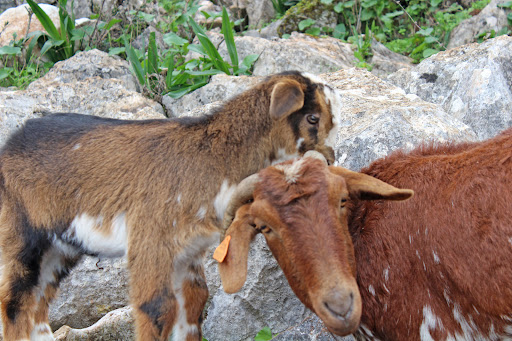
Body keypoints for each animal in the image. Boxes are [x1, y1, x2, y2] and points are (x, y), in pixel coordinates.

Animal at [0, 70, 342, 338]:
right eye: (312, 117)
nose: (330, 158)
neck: (214, 160)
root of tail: (10, 145)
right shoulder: (151, 241)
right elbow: (156, 307)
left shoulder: (187, 252)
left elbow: (193, 303)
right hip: (21, 239)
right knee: (14, 304)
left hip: (58, 249)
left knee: (37, 307)